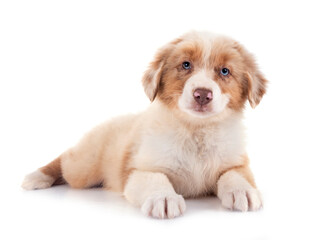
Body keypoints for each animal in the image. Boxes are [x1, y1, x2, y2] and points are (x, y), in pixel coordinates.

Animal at [21, 31, 268, 219]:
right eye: (185, 65)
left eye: (225, 71)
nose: (202, 95)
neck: (196, 130)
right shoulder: (140, 170)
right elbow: (156, 179)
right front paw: (164, 198)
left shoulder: (236, 161)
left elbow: (234, 175)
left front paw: (243, 191)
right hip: (83, 167)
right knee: (65, 159)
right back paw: (37, 176)